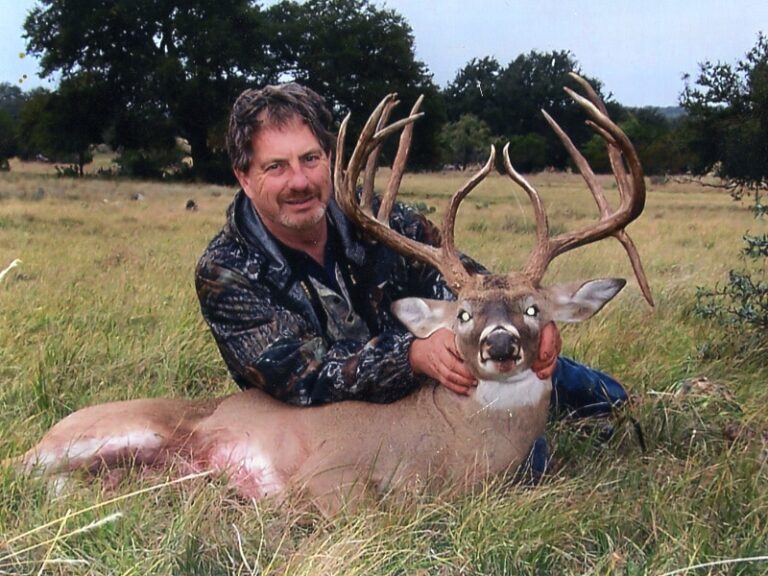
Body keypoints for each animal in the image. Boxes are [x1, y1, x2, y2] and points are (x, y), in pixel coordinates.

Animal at [4, 74, 652, 516]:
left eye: (532, 308)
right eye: (464, 313)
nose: (500, 345)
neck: (451, 450)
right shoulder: (329, 469)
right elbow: (361, 507)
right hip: (108, 432)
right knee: (23, 470)